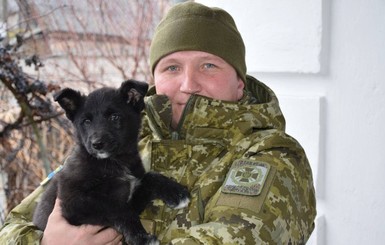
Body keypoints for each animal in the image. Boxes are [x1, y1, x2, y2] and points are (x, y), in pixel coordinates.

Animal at [32, 79, 189, 244]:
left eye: (114, 117)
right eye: (86, 121)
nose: (97, 144)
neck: (112, 162)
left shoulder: (133, 195)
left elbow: (150, 177)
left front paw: (176, 192)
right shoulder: (73, 204)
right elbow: (118, 209)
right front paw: (142, 238)